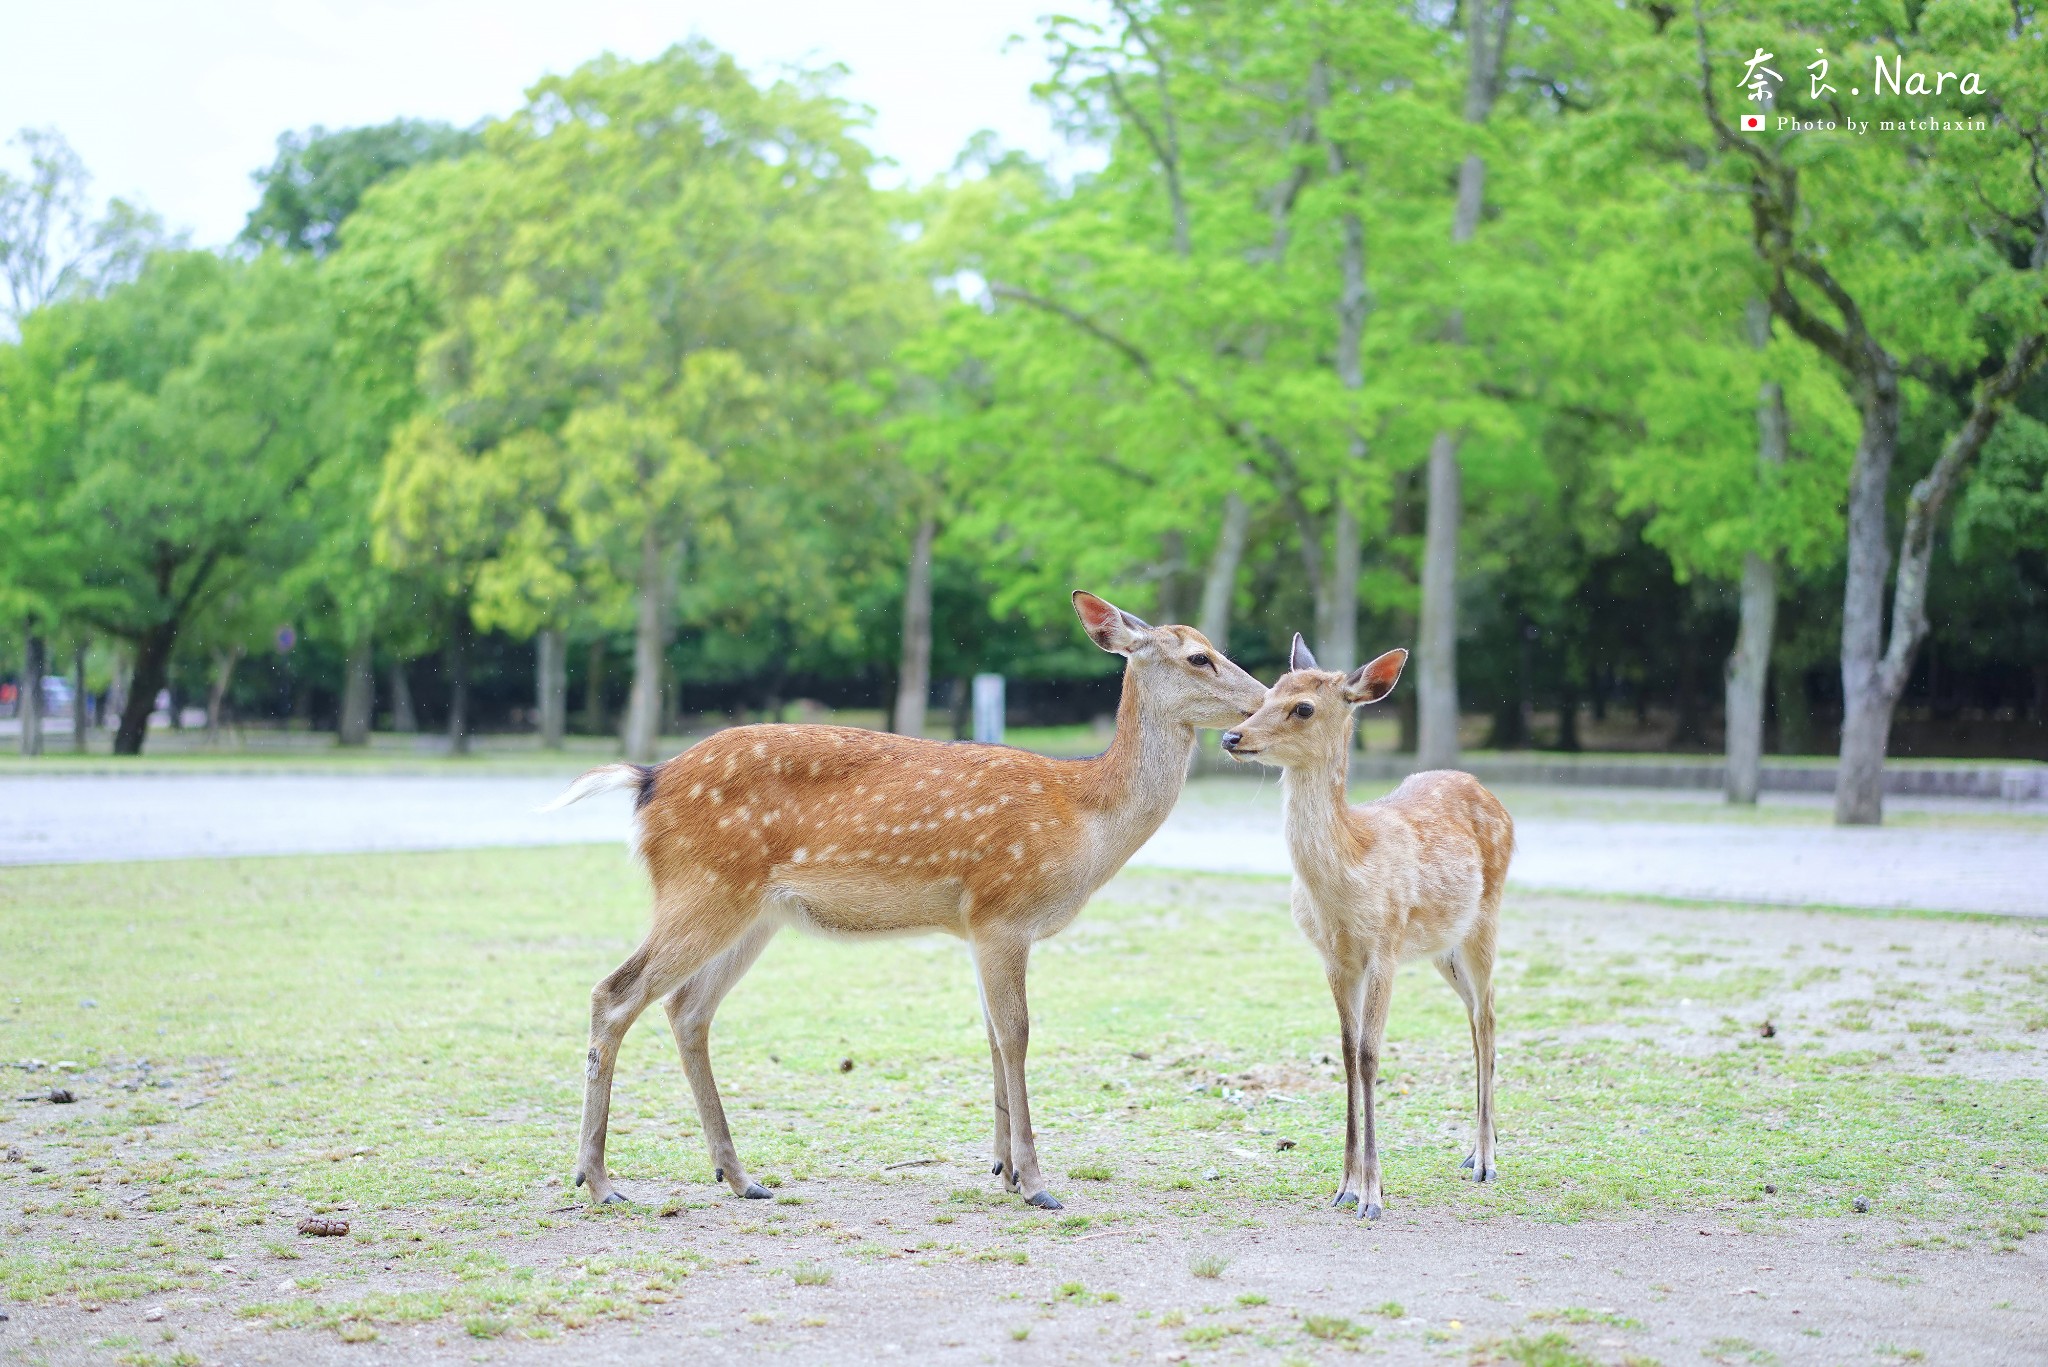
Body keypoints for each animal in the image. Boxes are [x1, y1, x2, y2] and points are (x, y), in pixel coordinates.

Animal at [544, 590, 1261, 1205]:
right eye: (1198, 656)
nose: (1258, 707)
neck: (1086, 817)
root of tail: (648, 779)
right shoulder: (1004, 911)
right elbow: (1018, 1034)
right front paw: (1035, 1182)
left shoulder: (977, 926)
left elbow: (992, 1035)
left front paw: (1002, 1168)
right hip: (702, 887)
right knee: (614, 993)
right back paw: (599, 1180)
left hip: (755, 911)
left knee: (687, 1008)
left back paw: (739, 1175)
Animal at [1220, 635, 1515, 1221]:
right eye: (1266, 693)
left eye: (1303, 708)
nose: (1231, 737)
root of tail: (1492, 797)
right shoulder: (1334, 957)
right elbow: (1346, 1051)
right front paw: (1344, 1187)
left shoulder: (1384, 944)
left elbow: (1370, 1054)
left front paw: (1373, 1195)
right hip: (1441, 947)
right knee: (1475, 1013)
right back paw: (1472, 1154)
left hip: (1486, 918)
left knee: (1489, 1015)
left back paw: (1488, 1162)